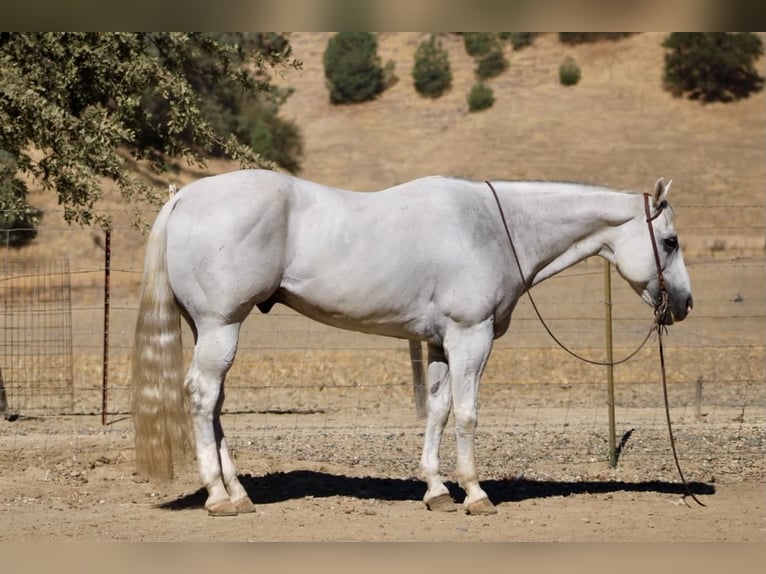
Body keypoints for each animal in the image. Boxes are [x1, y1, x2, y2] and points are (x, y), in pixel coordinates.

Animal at [131, 170, 693, 516]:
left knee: (215, 404)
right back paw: (218, 498)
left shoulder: (442, 344)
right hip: (221, 326)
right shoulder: (471, 337)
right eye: (669, 242)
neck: (493, 228)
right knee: (203, 397)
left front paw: (437, 490)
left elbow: (438, 412)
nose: (684, 304)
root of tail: (184, 196)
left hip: (210, 329)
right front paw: (475, 493)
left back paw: (239, 493)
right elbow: (467, 415)